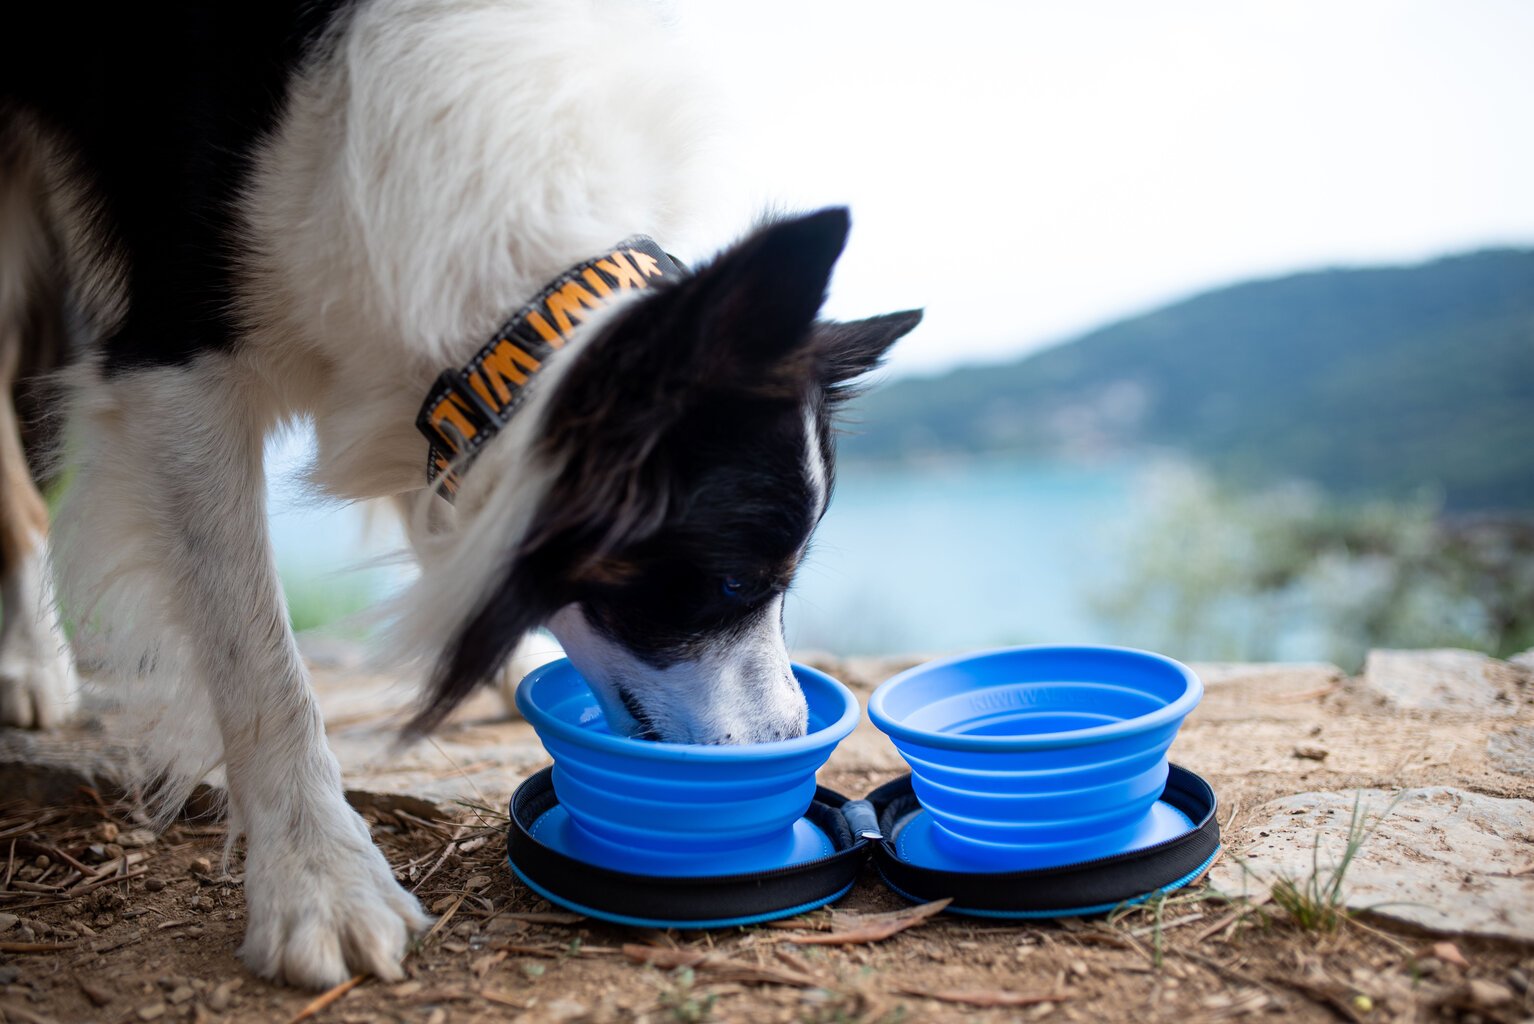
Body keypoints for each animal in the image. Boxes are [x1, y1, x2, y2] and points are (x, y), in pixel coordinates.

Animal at [0, 2, 908, 993]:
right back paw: (32, 663)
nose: (795, 734)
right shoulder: (175, 357)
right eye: (737, 583)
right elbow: (260, 664)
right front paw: (320, 880)